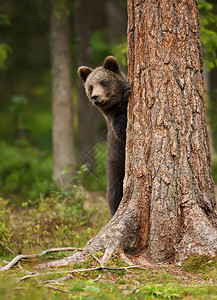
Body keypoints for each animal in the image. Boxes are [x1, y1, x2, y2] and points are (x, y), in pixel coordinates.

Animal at [78, 55, 131, 216]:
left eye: (103, 82)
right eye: (90, 86)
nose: (95, 96)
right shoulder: (114, 123)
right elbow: (122, 130)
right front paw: (127, 94)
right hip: (116, 175)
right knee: (114, 197)